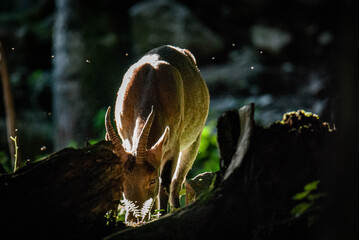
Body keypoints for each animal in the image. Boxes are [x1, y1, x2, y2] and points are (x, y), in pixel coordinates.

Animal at [105, 45, 210, 225]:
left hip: (195, 139)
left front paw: (162, 215)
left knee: (176, 182)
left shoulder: (173, 145)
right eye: (123, 181)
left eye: (152, 180)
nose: (134, 219)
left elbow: (165, 183)